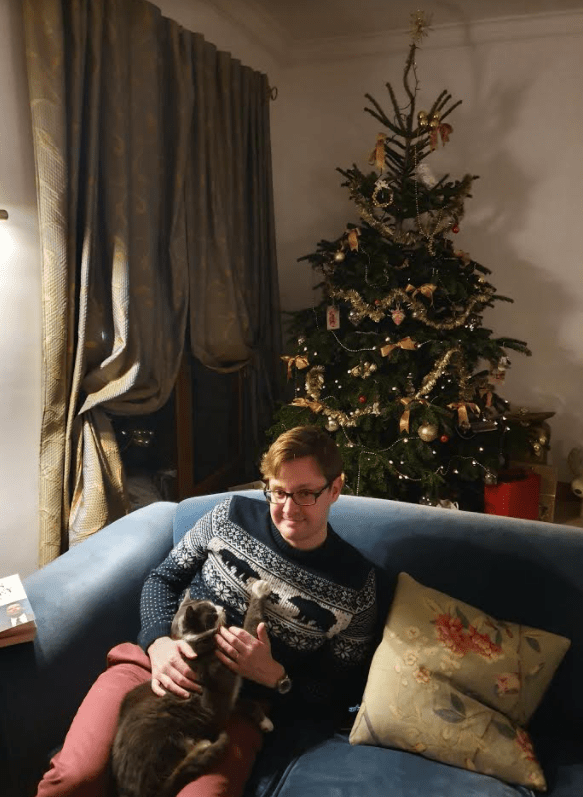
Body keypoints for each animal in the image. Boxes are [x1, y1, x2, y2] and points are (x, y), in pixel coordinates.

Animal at [110, 579, 273, 797]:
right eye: (211, 613)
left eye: (215, 606)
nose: (223, 608)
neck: (195, 641)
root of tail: (135, 790)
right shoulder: (235, 651)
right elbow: (251, 624)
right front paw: (259, 590)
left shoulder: (226, 701)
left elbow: (248, 702)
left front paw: (264, 721)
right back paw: (203, 745)